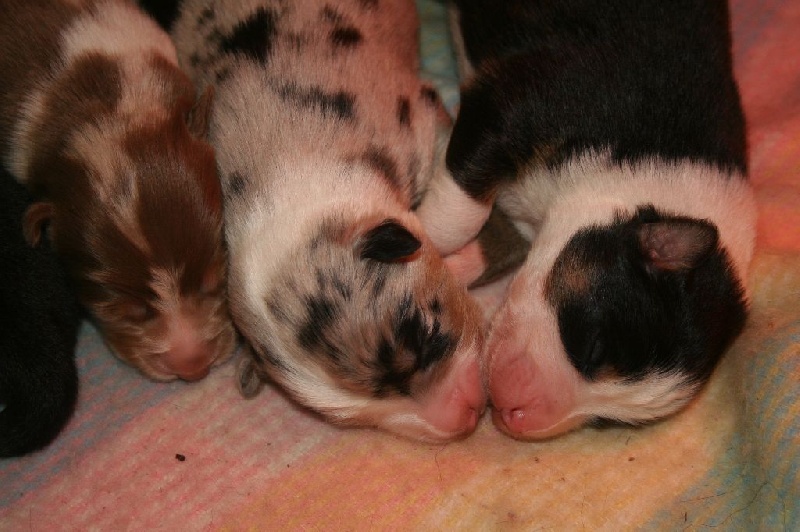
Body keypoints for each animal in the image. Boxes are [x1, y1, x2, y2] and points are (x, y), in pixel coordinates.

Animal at [416, 1, 760, 440]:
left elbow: (493, 241)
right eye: (594, 349)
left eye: (605, 421)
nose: (515, 415)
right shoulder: (509, 106)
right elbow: (456, 216)